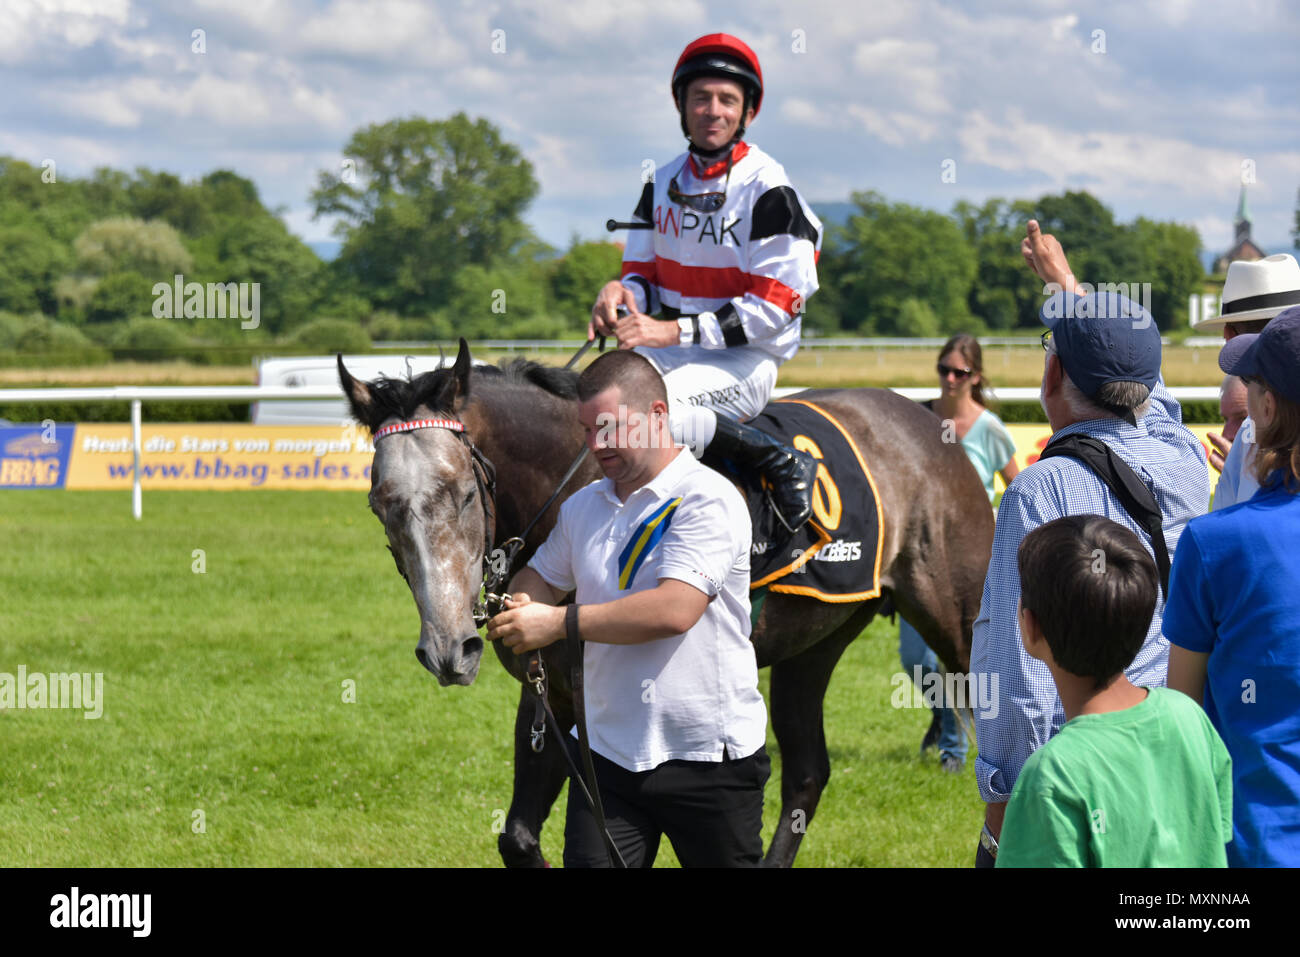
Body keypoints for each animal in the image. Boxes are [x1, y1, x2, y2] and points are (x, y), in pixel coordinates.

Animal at [338, 338, 993, 868]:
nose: (450, 650)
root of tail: (927, 421)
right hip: (814, 646)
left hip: (959, 623)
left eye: (465, 493)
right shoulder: (550, 687)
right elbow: (520, 837)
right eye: (378, 504)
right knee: (808, 775)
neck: (575, 482)